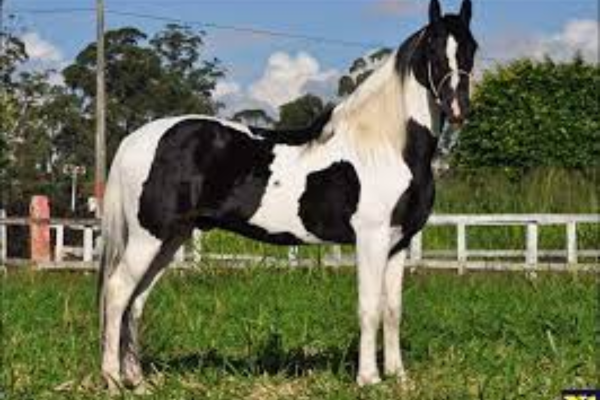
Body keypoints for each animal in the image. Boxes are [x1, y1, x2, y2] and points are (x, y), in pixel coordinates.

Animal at [99, 0, 478, 391]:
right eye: (433, 49)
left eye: (471, 48)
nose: (458, 107)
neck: (386, 145)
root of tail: (134, 140)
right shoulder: (371, 239)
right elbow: (369, 306)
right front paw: (368, 378)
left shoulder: (398, 243)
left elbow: (392, 309)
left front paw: (398, 376)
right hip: (148, 238)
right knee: (117, 293)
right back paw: (112, 380)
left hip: (171, 239)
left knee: (137, 300)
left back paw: (138, 381)